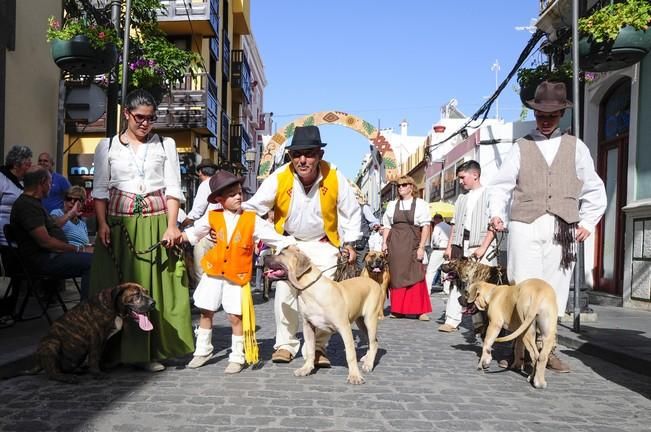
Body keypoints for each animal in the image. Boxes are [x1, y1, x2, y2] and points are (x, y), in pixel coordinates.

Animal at [17, 286, 155, 384]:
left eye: (146, 292)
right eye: (136, 295)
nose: (153, 303)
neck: (113, 307)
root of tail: (39, 361)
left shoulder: (102, 341)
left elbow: (98, 356)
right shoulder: (95, 337)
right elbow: (94, 357)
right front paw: (97, 373)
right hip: (52, 344)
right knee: (52, 373)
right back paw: (67, 378)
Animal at [266, 246, 388, 384]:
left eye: (281, 254)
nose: (265, 256)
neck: (310, 289)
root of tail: (372, 281)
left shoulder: (344, 327)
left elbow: (350, 354)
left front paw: (354, 376)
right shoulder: (308, 326)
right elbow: (310, 350)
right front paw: (306, 368)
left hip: (370, 319)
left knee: (373, 342)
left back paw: (368, 364)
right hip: (360, 321)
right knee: (371, 340)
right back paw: (366, 358)